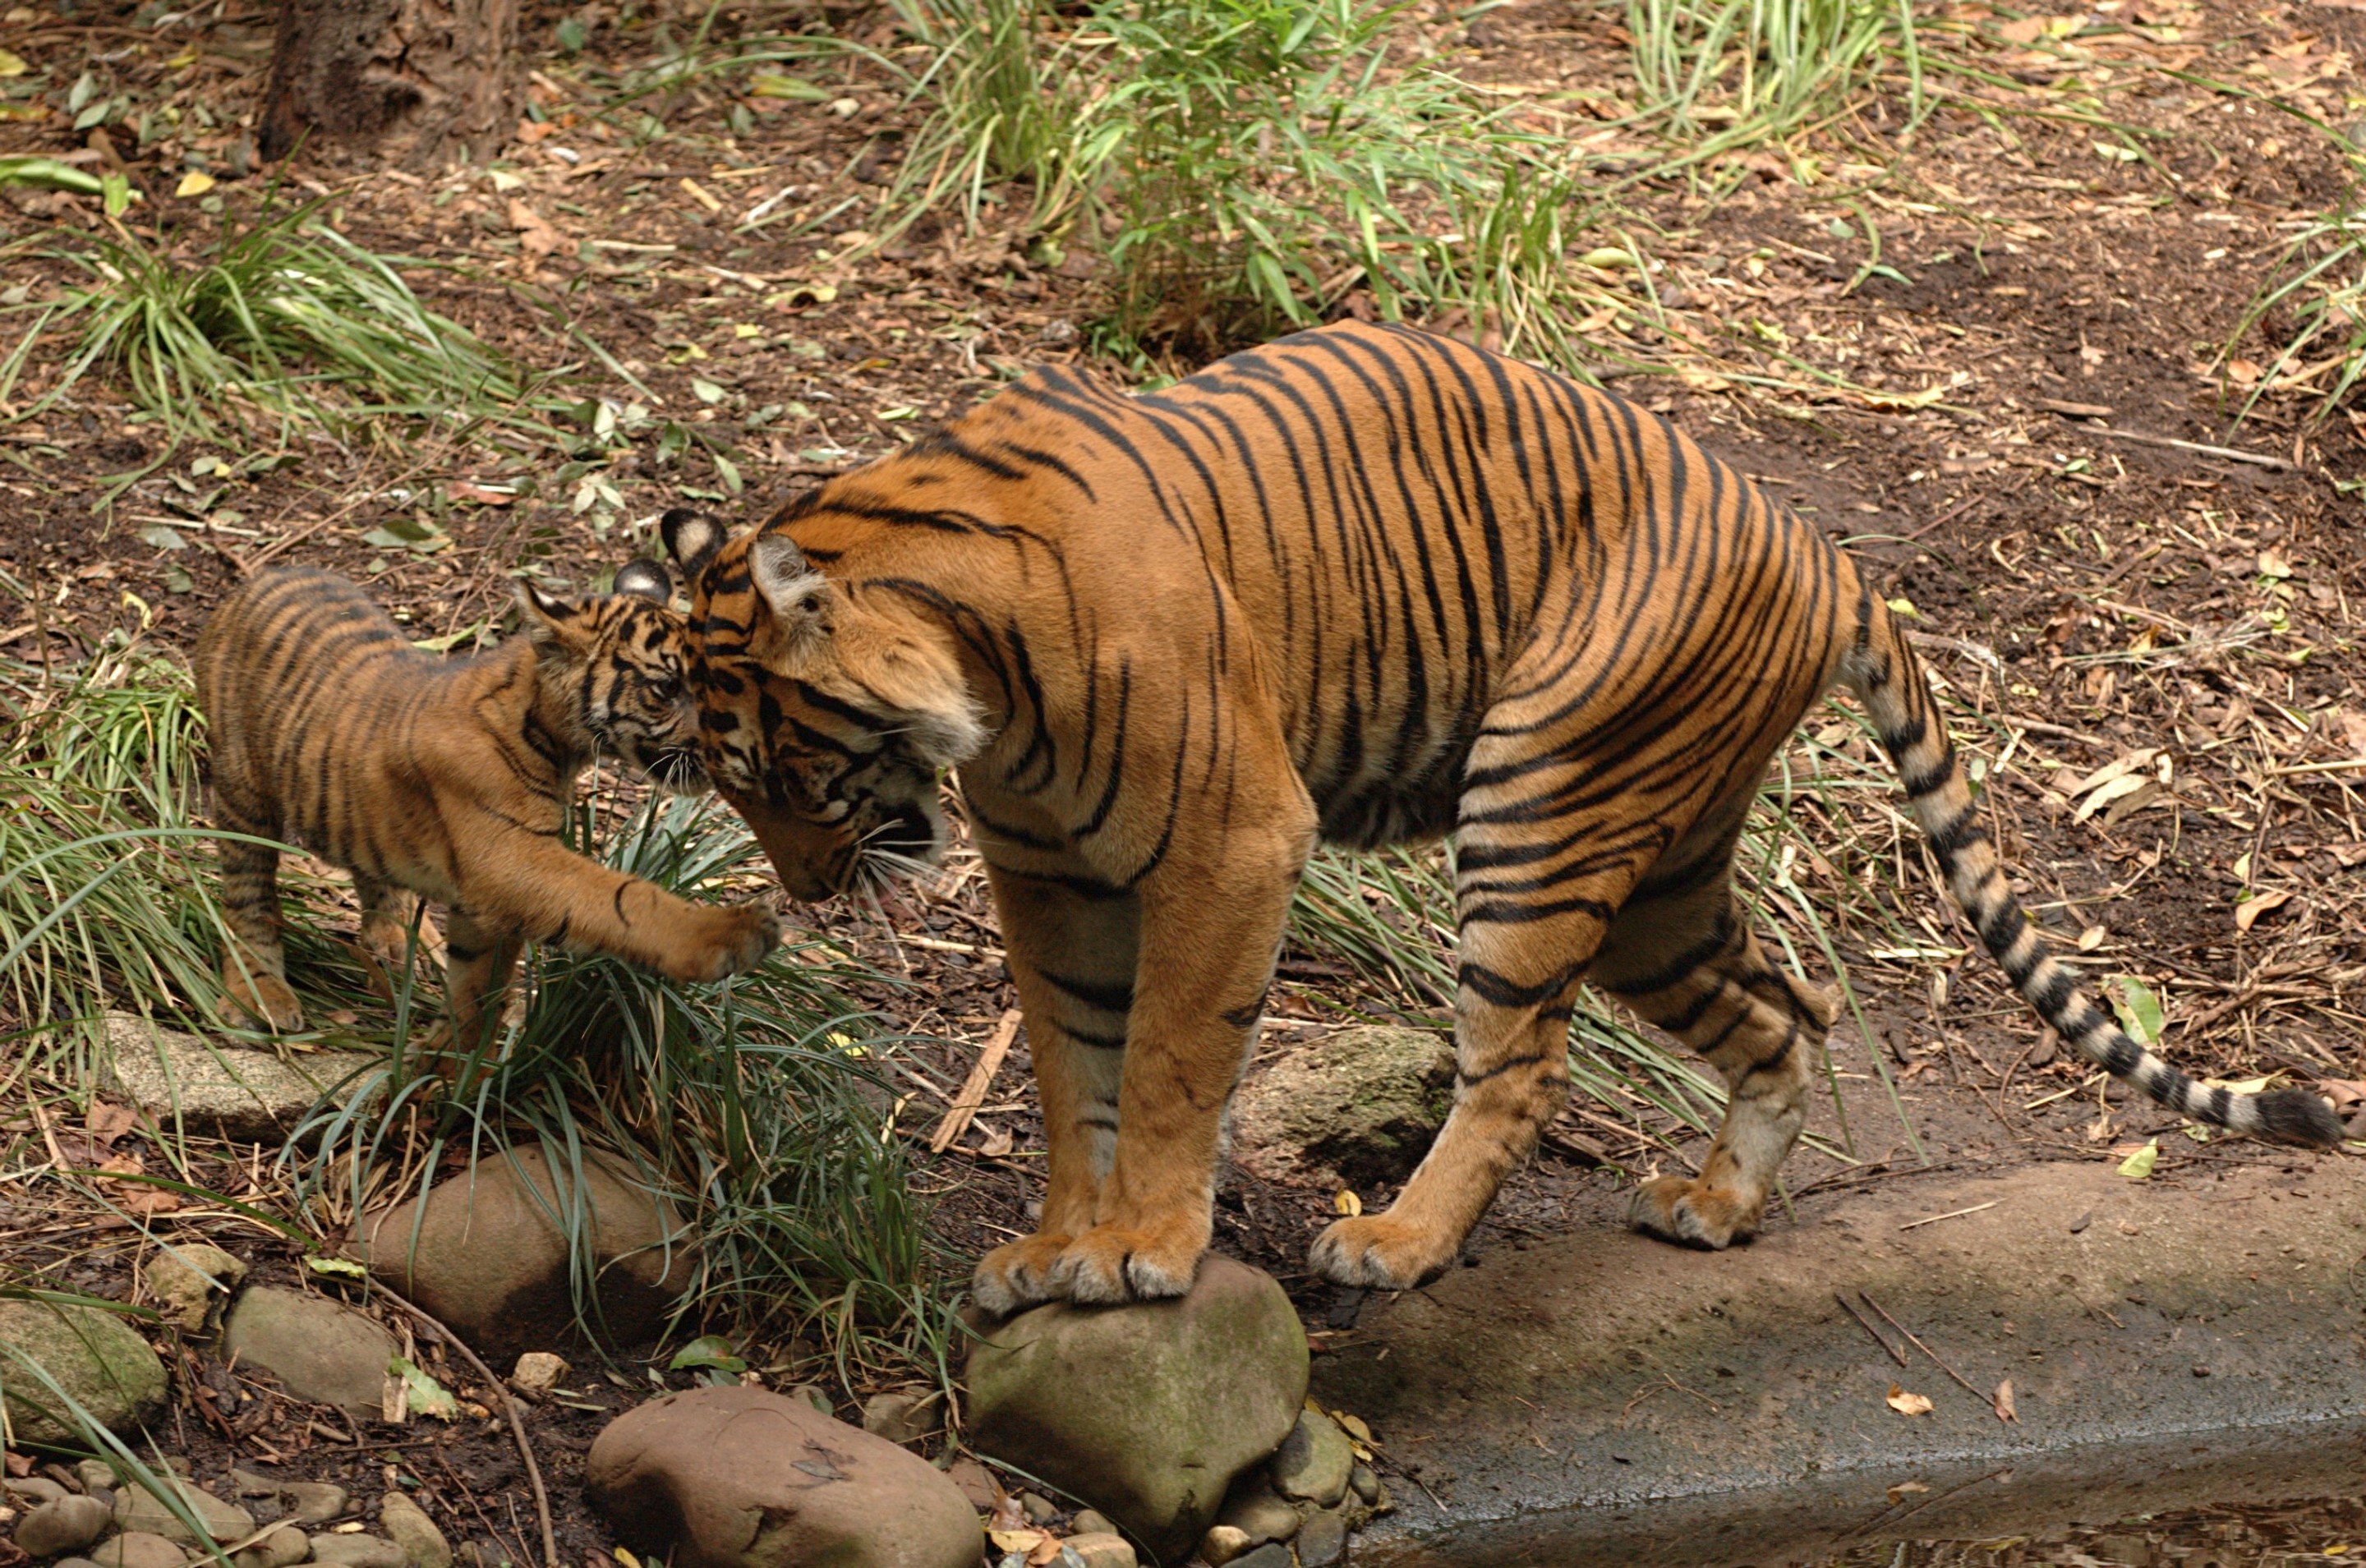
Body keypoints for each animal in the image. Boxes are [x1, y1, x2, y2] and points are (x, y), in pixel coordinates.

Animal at [193, 560, 781, 1059]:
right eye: (666, 687)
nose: (729, 742)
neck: (555, 737)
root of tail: (260, 577)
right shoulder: (509, 858)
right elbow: (621, 901)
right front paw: (735, 935)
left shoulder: (484, 899)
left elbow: (478, 988)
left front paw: (448, 1068)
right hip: (243, 791)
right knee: (248, 895)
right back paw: (259, 995)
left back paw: (398, 939)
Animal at [659, 319, 2342, 1313]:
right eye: (733, 792)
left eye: (785, 776)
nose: (808, 890)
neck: (983, 680)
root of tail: (1822, 550)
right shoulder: (1046, 872)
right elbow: (1073, 1063)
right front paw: (1059, 1243)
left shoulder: (1230, 843)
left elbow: (1165, 1061)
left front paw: (1142, 1246)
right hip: (1663, 871)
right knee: (1788, 1006)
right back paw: (1717, 1207)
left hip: (1540, 803)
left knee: (1523, 1063)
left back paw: (1397, 1242)